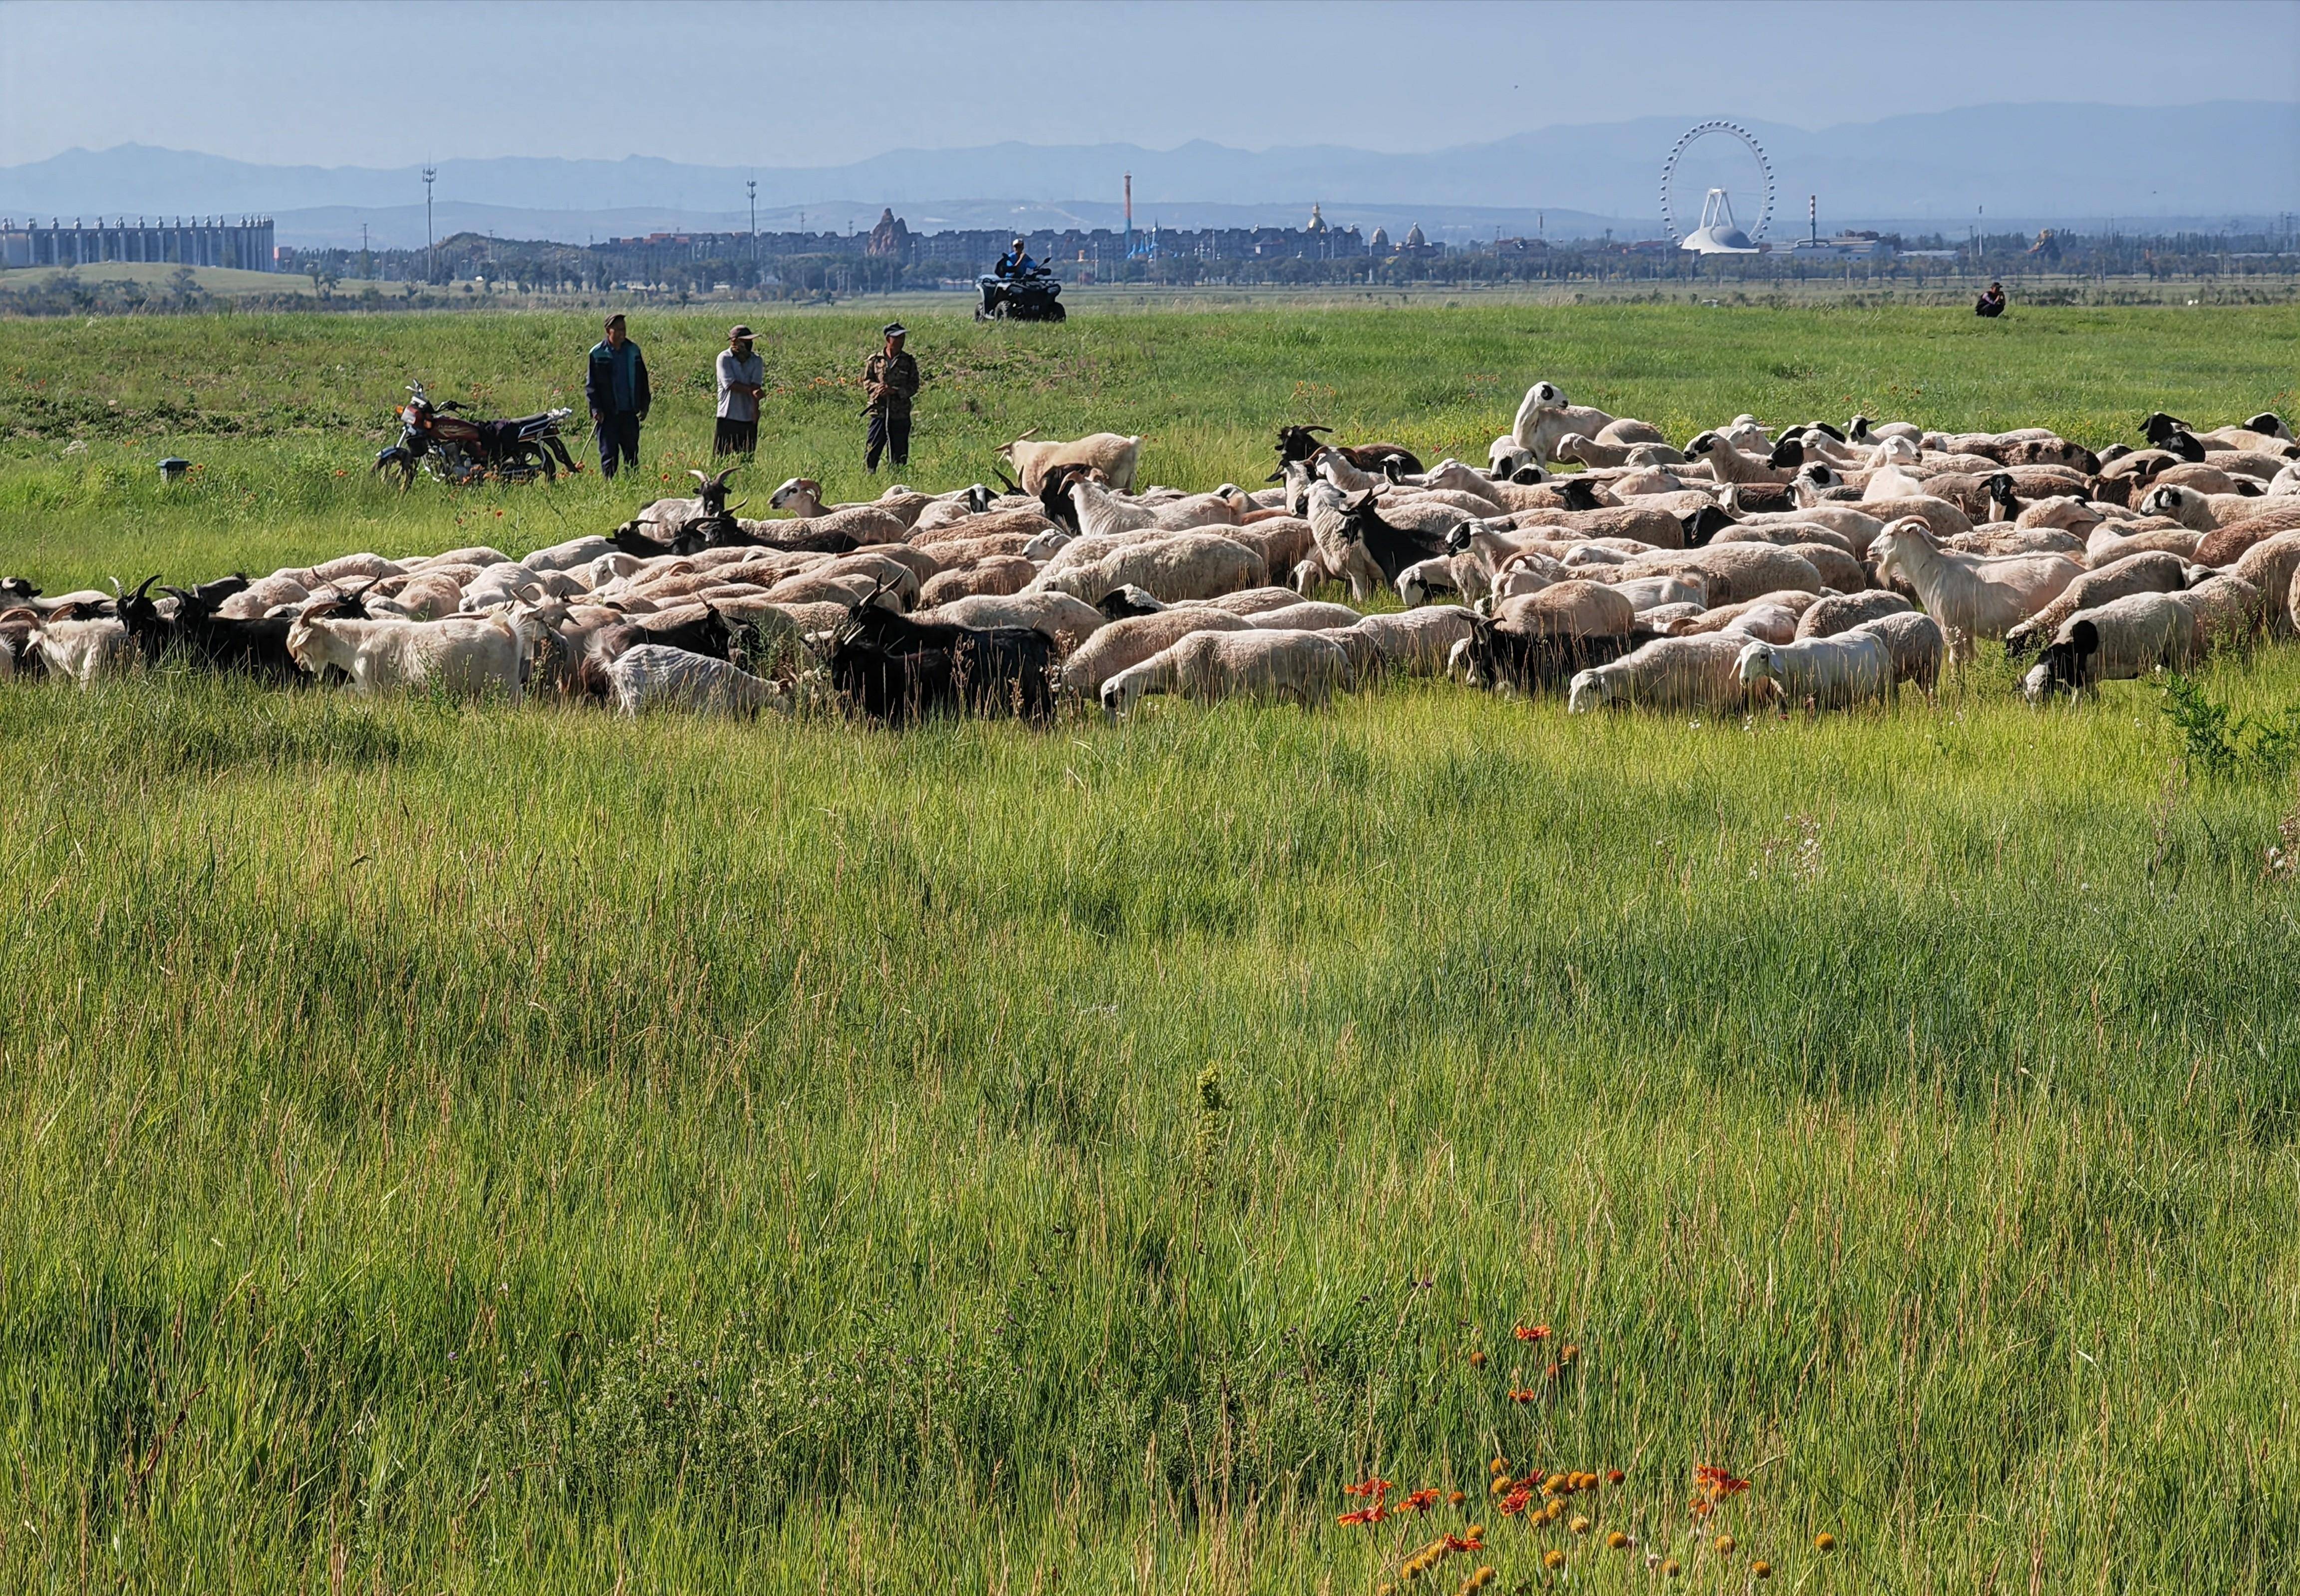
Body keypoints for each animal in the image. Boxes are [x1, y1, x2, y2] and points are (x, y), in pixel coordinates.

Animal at [1095, 630, 1343, 717]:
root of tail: (1333, 647)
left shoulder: (1200, 696)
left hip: (1318, 688)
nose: (1111, 725)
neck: (1170, 665)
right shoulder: (1213, 697)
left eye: (1111, 699)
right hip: (1307, 695)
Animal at [1867, 515, 2088, 657]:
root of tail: (2080, 568)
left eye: (1892, 534)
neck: (1934, 570)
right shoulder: (1966, 632)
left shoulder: (1952, 628)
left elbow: (1955, 662)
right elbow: (1970, 659)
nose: (1870, 550)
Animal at [2024, 588, 2199, 704]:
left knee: (2184, 678)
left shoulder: (2080, 676)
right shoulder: (2089, 676)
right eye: (2028, 700)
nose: (2038, 714)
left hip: (2178, 652)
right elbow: (2095, 696)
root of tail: (2182, 606)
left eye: (2045, 695)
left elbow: (2076, 702)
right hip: (2164, 655)